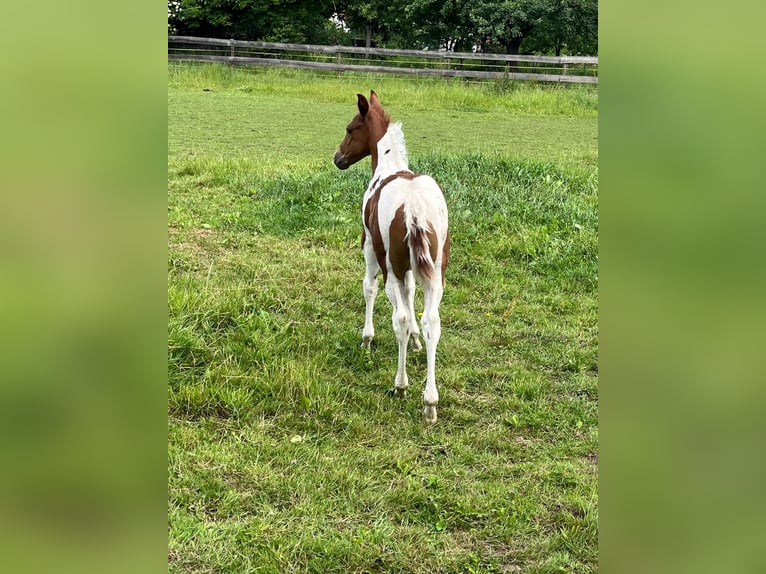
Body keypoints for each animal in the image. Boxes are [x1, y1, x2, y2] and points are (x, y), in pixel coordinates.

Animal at [334, 91, 450, 423]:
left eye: (350, 128)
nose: (338, 159)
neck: (388, 169)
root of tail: (413, 207)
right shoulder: (413, 268)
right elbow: (412, 299)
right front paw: (415, 341)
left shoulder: (370, 247)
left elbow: (370, 289)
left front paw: (367, 338)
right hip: (436, 272)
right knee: (432, 321)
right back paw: (430, 402)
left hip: (392, 265)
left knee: (398, 317)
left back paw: (401, 386)